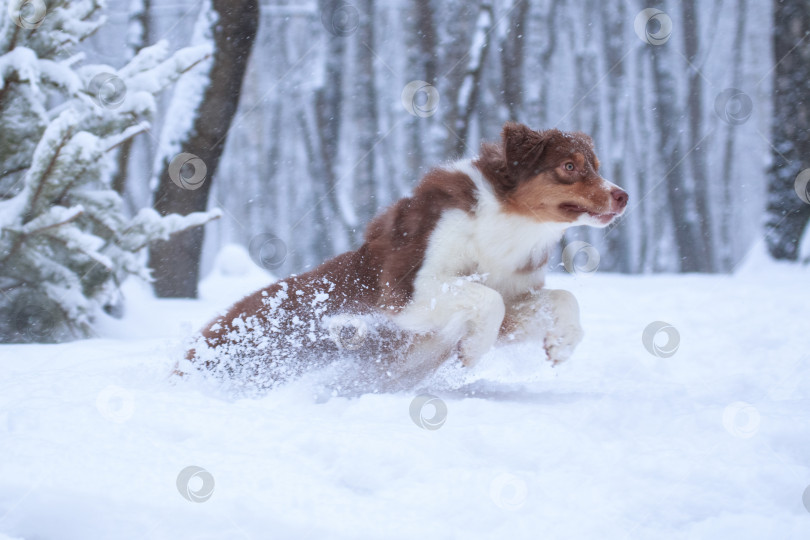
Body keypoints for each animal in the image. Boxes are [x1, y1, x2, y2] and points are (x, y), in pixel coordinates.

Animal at [186, 124, 628, 390]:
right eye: (568, 166)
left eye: (596, 166)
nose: (623, 195)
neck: (508, 223)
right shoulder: (406, 290)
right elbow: (488, 300)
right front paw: (472, 350)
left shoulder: (515, 293)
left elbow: (562, 299)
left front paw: (561, 345)